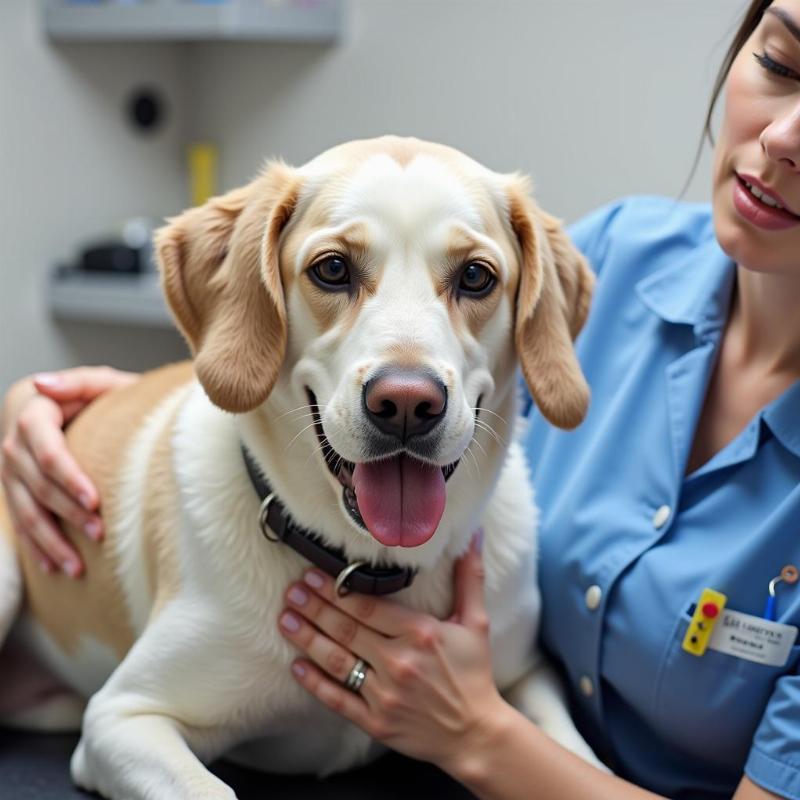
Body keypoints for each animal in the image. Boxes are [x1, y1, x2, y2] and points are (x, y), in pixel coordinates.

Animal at [0, 134, 600, 796]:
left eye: (475, 276)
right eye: (332, 269)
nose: (407, 405)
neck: (371, 563)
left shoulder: (526, 676)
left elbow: (581, 761)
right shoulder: (122, 716)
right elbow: (210, 788)